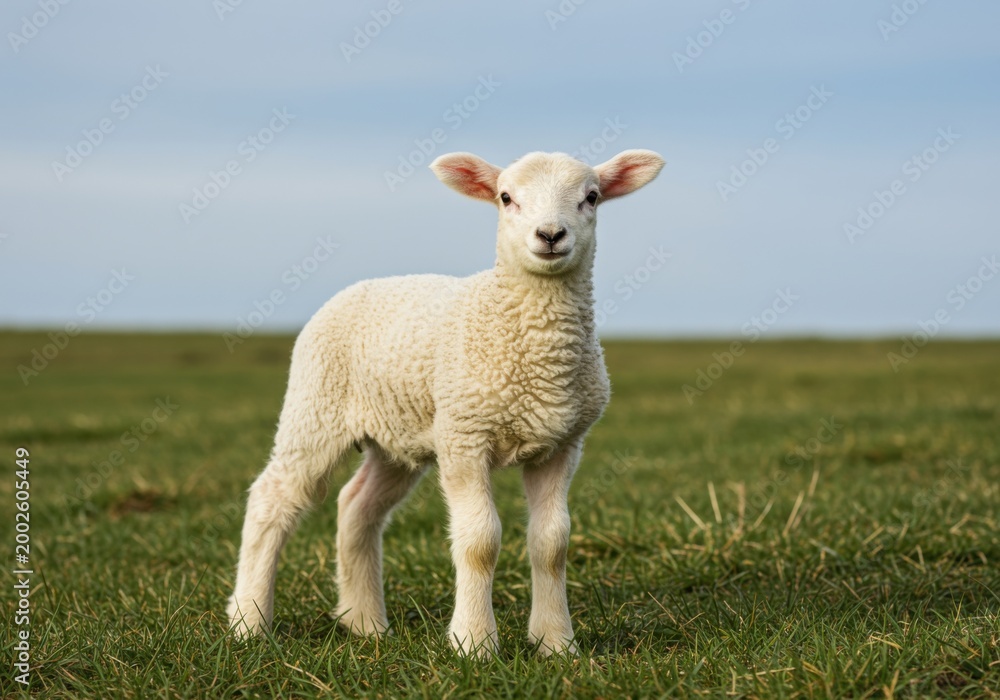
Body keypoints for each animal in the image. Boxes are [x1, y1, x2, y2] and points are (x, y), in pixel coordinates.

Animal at [226, 148, 665, 657]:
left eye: (591, 197)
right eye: (506, 197)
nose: (551, 235)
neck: (537, 353)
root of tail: (357, 288)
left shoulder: (561, 444)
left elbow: (552, 543)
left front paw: (556, 643)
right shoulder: (464, 435)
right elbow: (480, 540)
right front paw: (474, 643)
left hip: (395, 436)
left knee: (357, 507)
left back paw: (364, 623)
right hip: (316, 408)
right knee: (271, 499)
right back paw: (248, 622)